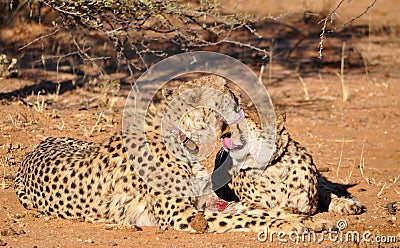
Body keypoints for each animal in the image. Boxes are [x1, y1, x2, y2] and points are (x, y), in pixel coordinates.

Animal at [14, 74, 334, 233]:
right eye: (223, 91)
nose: (239, 98)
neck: (185, 140)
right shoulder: (184, 217)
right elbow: (251, 218)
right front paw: (292, 223)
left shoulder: (210, 203)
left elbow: (257, 210)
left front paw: (311, 218)